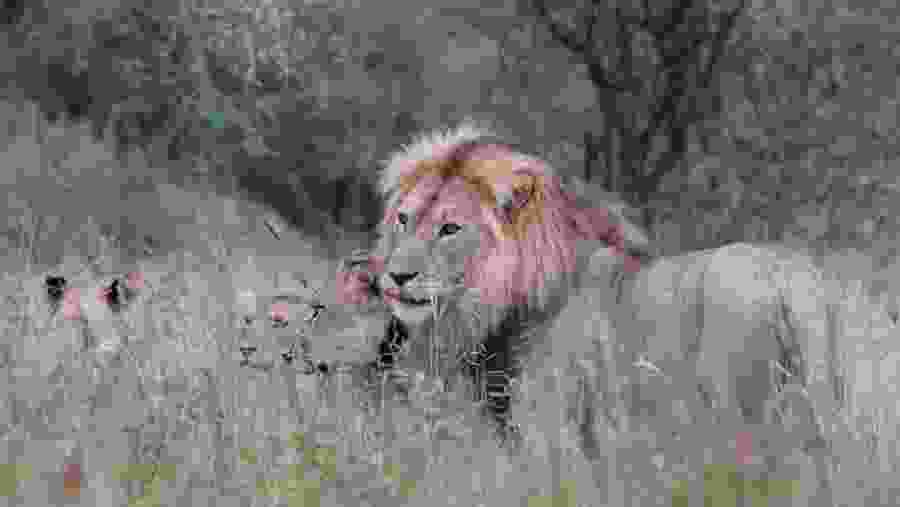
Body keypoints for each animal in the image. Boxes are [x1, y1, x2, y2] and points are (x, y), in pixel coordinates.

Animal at [335, 122, 845, 502]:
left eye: (450, 229)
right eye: (404, 219)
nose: (395, 276)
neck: (500, 310)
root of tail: (793, 280)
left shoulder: (555, 442)